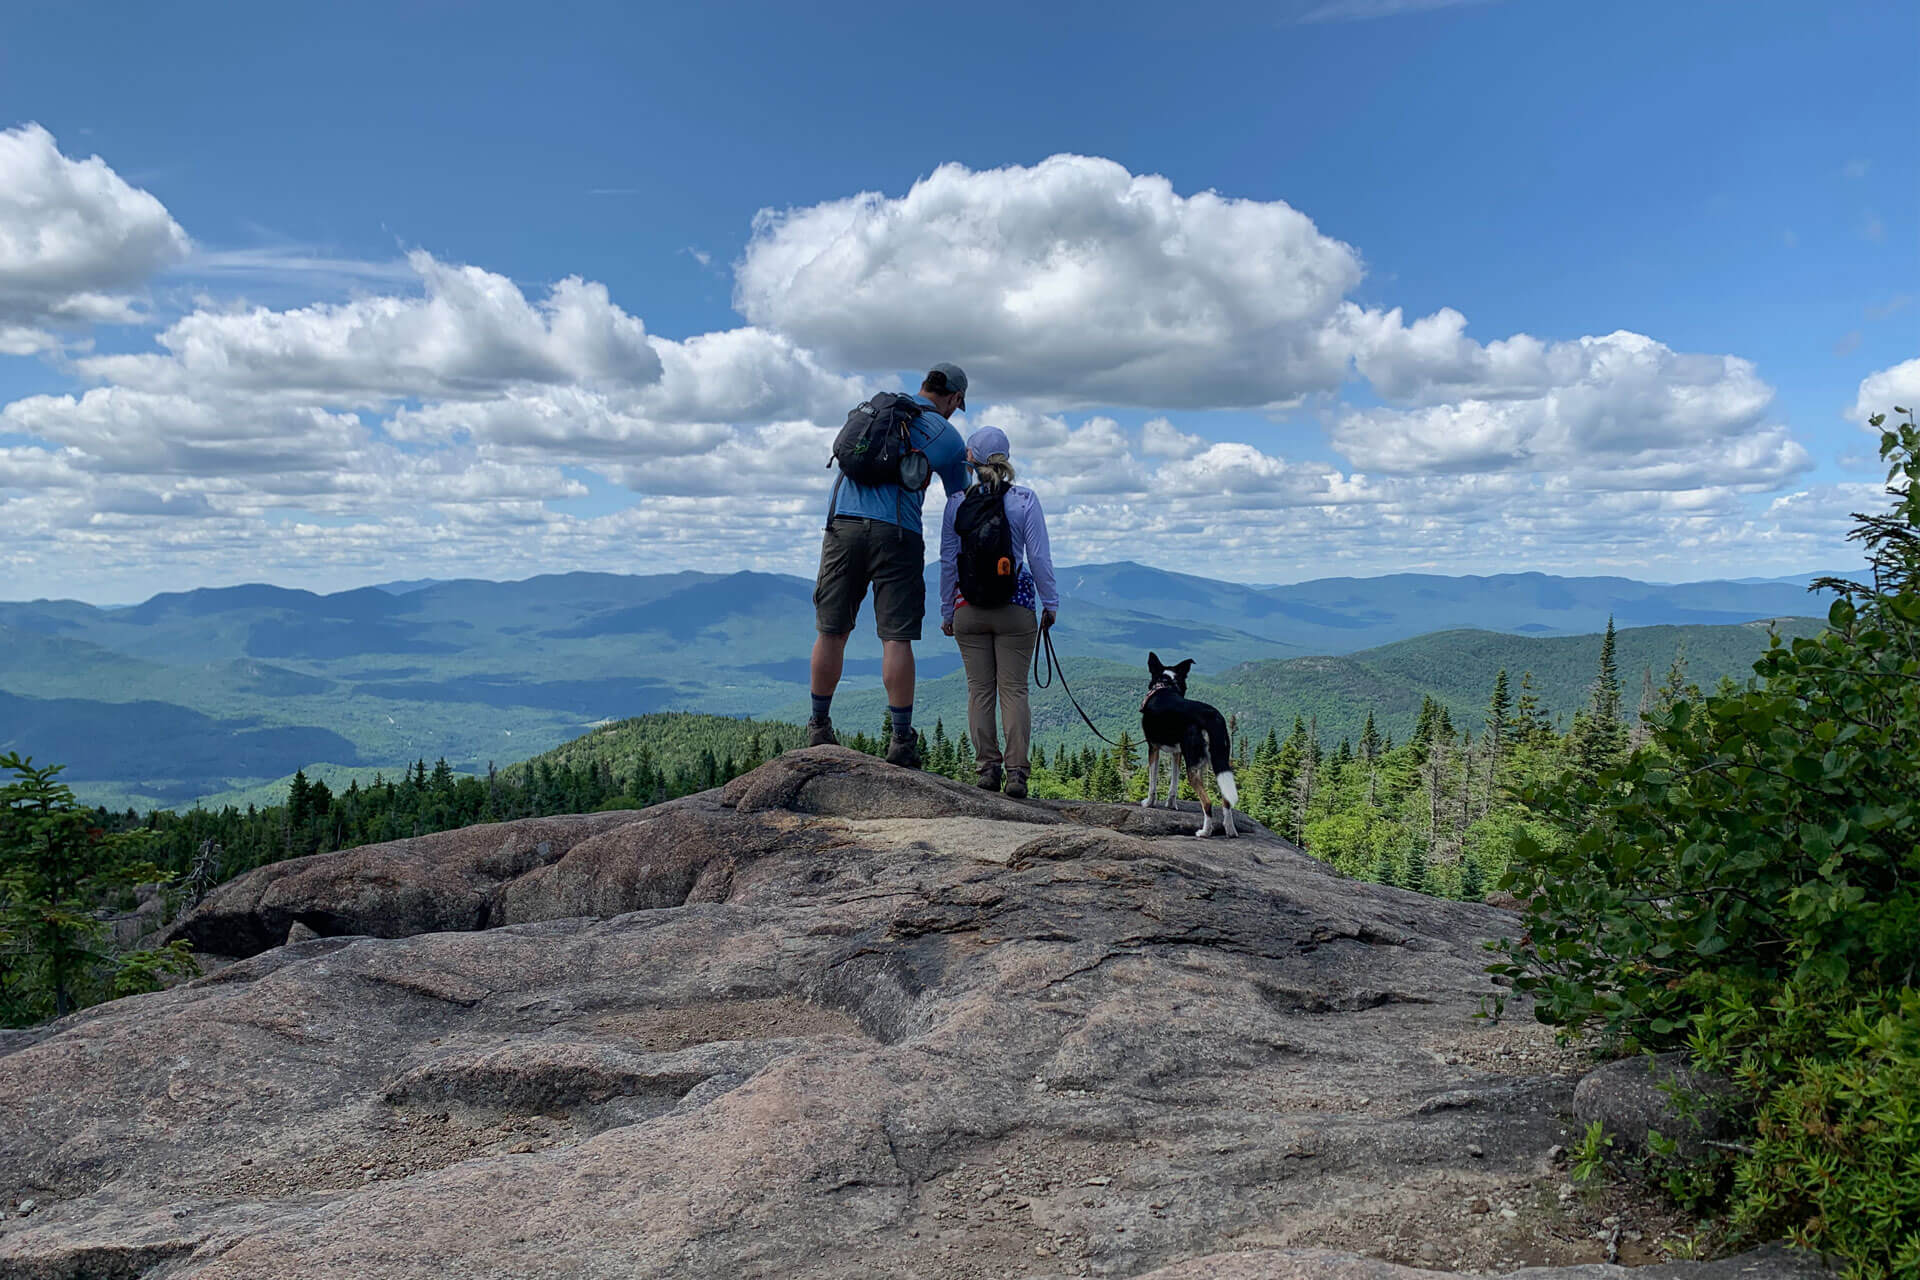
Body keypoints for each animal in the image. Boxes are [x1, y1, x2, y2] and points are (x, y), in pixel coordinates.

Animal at [1136, 652, 1244, 840]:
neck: (1165, 685)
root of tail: (1212, 717)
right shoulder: (1178, 753)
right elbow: (1173, 783)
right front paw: (1171, 804)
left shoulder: (1153, 747)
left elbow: (1152, 783)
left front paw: (1148, 803)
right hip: (1218, 760)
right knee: (1226, 800)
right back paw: (1230, 830)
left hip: (1193, 765)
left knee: (1207, 802)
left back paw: (1205, 832)